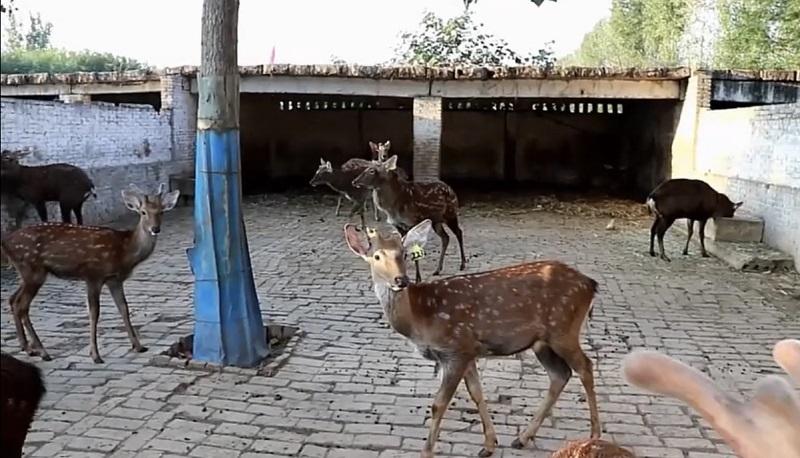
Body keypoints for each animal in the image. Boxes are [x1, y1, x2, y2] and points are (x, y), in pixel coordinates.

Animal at [1, 184, 180, 364]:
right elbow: (94, 312)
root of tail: (6, 242)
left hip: (27, 273)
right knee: (22, 305)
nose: (155, 229)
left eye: (161, 212)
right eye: (143, 212)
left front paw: (138, 346)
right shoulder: (94, 275)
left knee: (13, 300)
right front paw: (95, 355)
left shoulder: (115, 280)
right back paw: (42, 352)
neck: (124, 251)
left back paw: (28, 348)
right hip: (33, 270)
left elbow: (123, 308)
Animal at [342, 220, 600, 456]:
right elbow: (477, 394)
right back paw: (522, 438)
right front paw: (489, 444)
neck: (420, 318)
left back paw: (594, 436)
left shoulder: (455, 350)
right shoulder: (468, 351)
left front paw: (427, 451)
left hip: (564, 329)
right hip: (542, 341)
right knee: (560, 375)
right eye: (376, 256)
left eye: (404, 254)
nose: (401, 280)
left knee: (585, 367)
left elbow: (438, 404)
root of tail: (590, 284)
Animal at [352, 154, 468, 282]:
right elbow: (402, 248)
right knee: (445, 237)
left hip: (450, 213)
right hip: (436, 221)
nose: (354, 181)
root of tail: (452, 190)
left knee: (458, 232)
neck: (392, 208)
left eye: (372, 170)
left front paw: (418, 278)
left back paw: (462, 264)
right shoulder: (398, 225)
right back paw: (437, 270)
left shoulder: (412, 221)